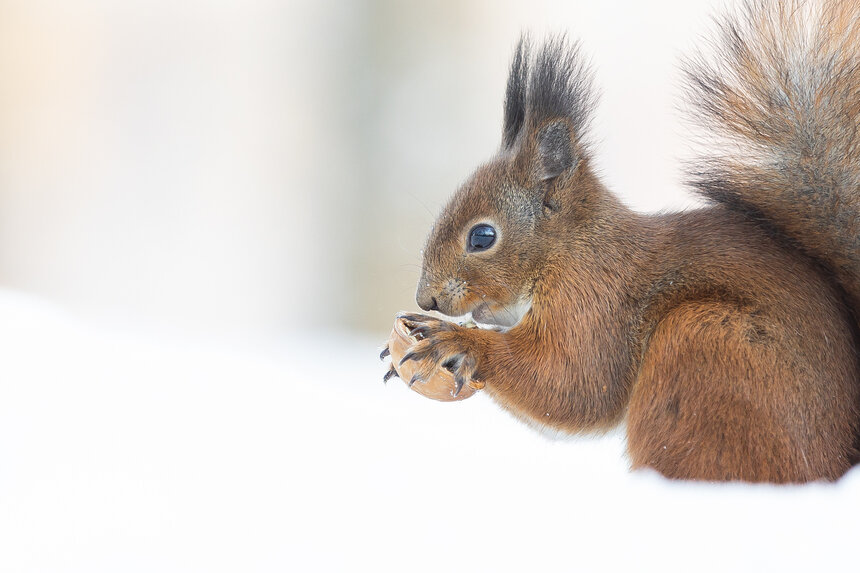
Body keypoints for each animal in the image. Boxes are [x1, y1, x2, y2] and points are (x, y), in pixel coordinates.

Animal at [388, 0, 860, 480]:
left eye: (482, 237)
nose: (426, 298)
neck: (571, 247)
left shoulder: (594, 301)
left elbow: (571, 385)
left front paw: (454, 341)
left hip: (702, 343)